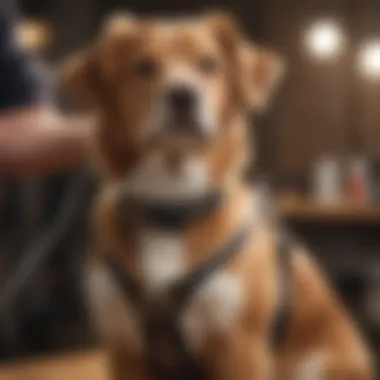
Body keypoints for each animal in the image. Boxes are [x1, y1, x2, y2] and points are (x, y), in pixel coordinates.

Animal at [60, 10, 372, 378]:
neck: (172, 207)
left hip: (318, 365)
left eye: (209, 64)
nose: (182, 96)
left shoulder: (239, 348)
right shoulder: (126, 350)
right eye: (143, 66)